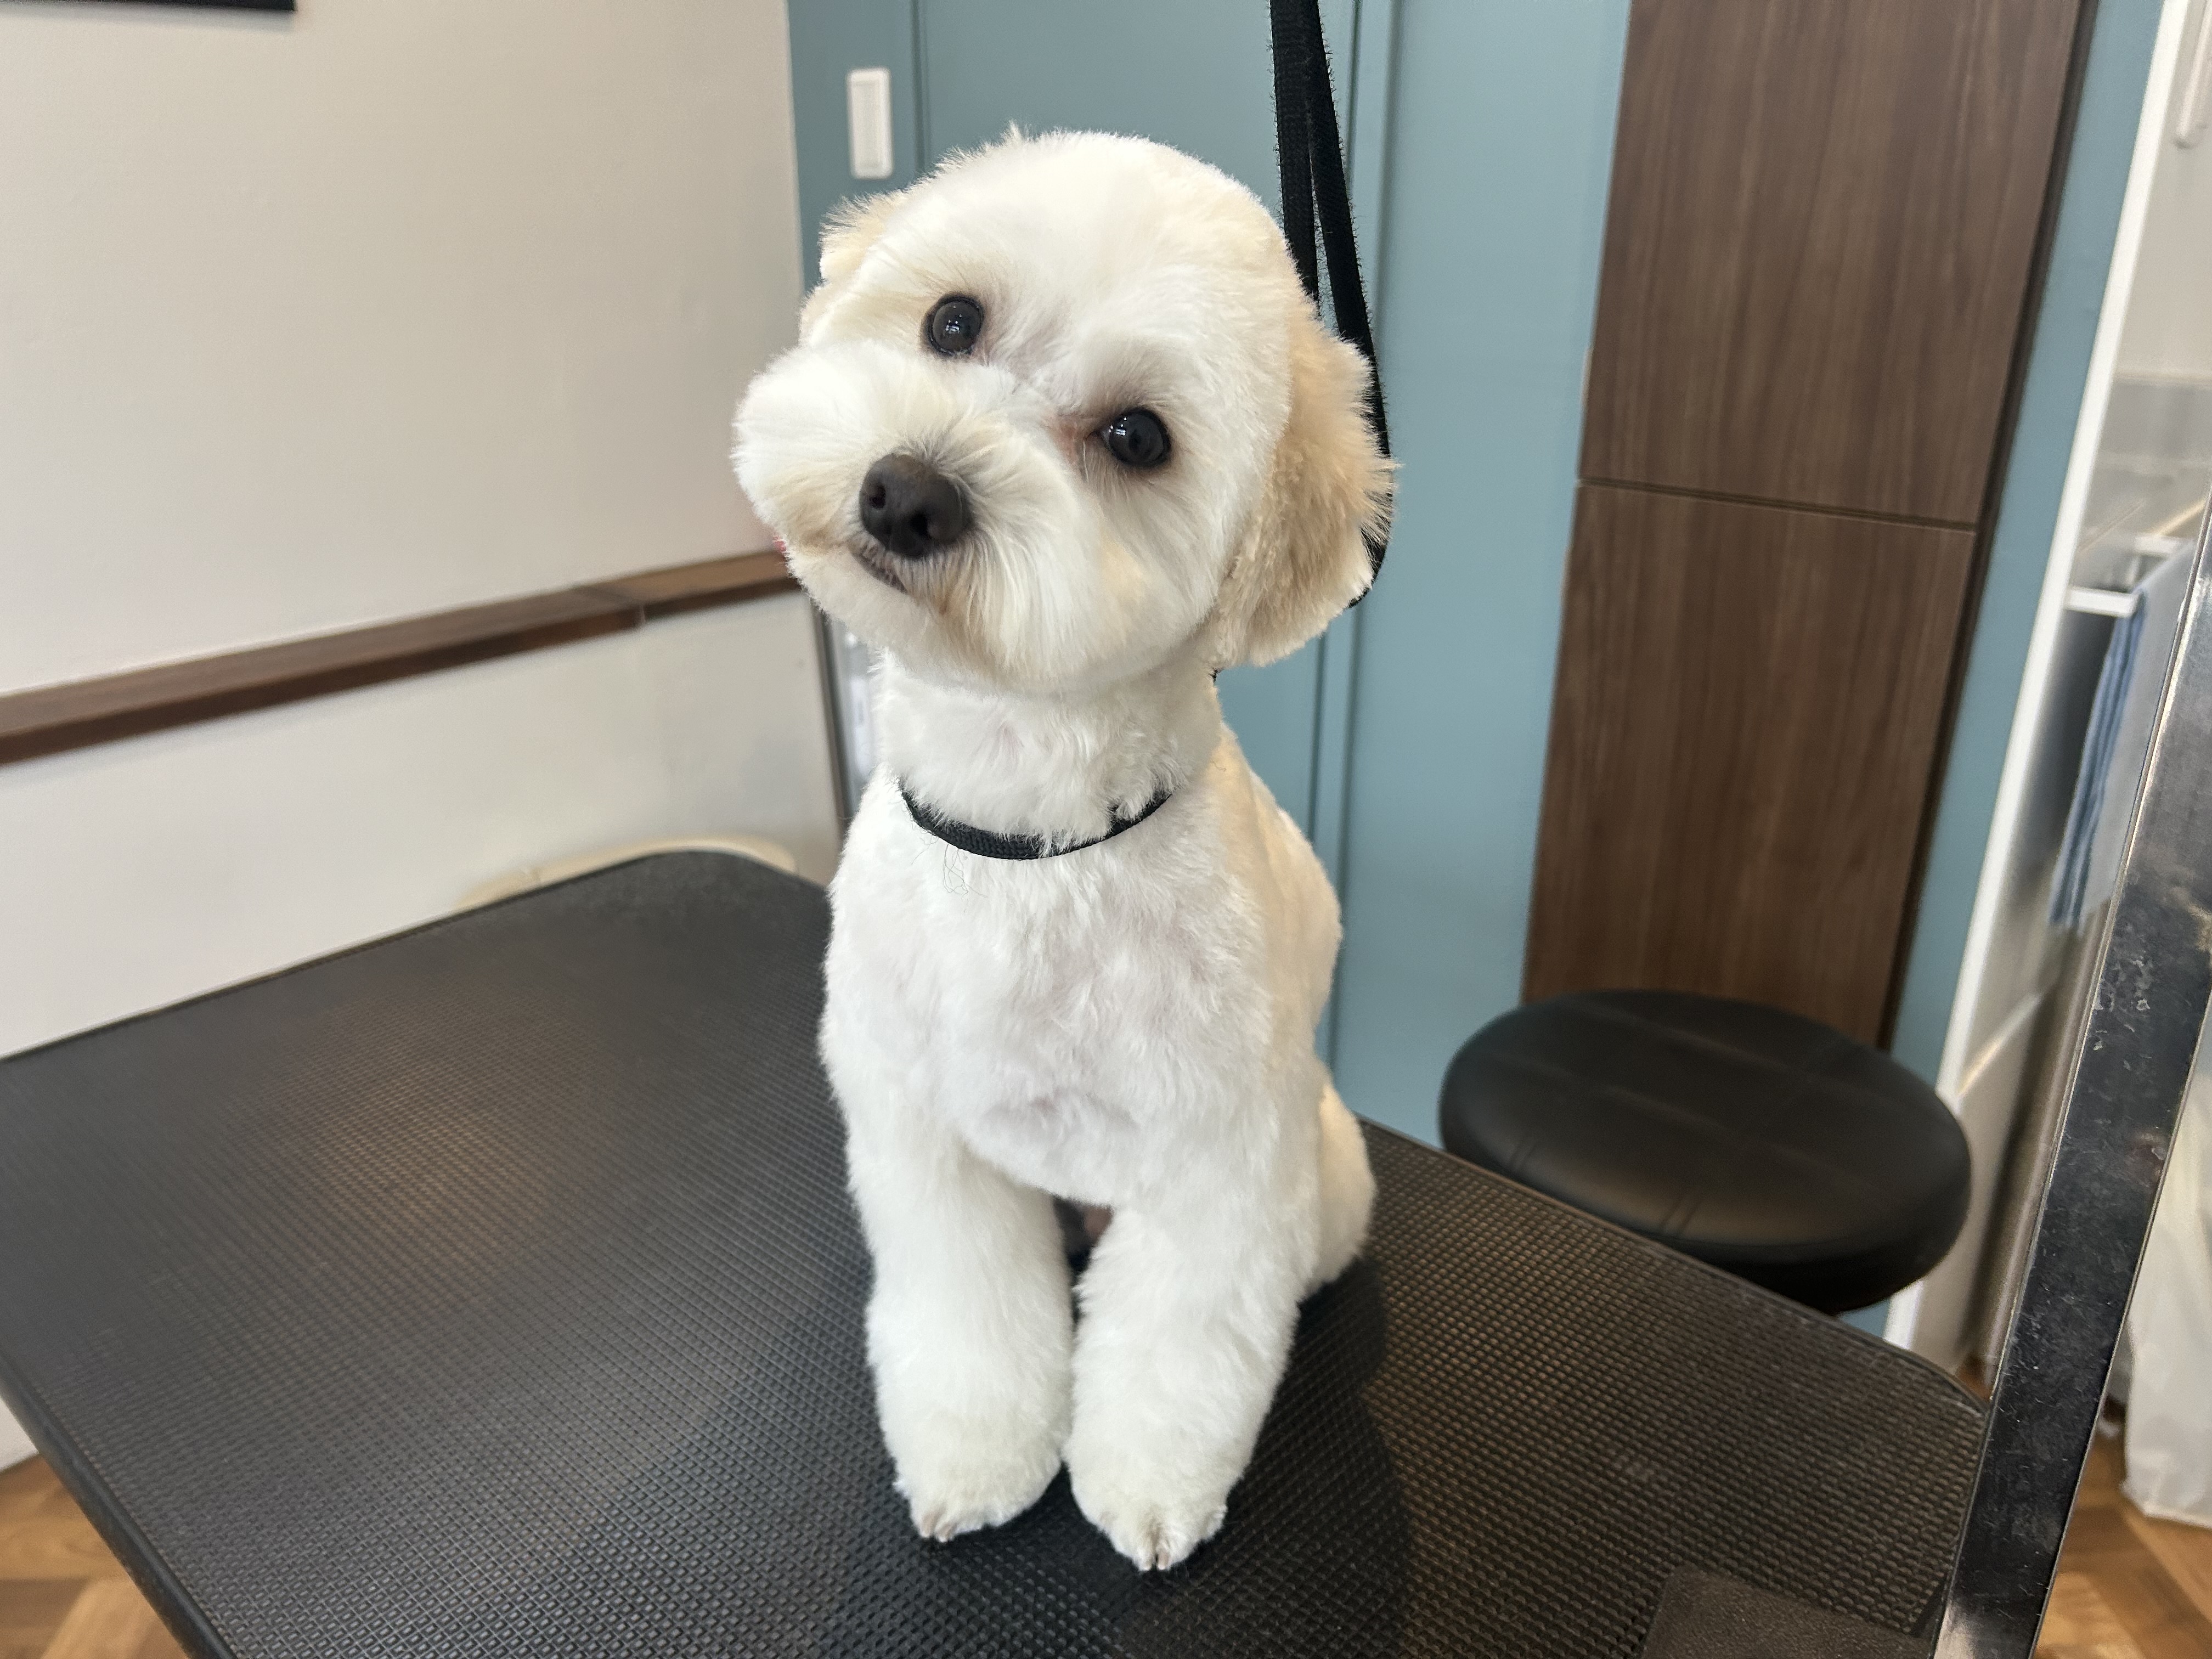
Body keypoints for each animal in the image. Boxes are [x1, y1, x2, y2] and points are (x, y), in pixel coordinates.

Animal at [733, 130, 1392, 1571]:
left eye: (1138, 438)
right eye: (951, 321)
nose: (909, 492)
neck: (1028, 839)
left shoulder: (1216, 1160)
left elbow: (1184, 1341)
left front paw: (1146, 1485)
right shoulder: (924, 1138)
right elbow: (968, 1316)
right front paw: (979, 1456)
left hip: (1320, 1167)